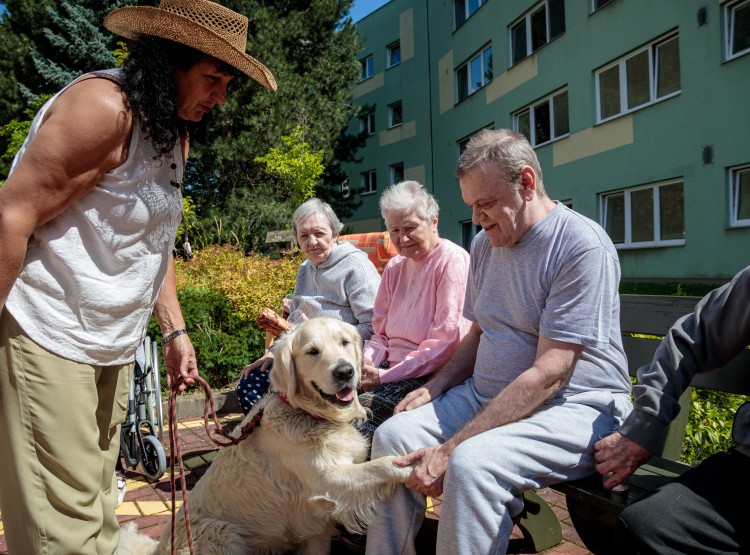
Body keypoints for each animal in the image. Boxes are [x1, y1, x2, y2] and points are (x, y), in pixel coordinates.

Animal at [119, 318, 412, 555]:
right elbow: (380, 465)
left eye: (344, 342)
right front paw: (412, 467)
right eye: (312, 352)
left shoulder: (316, 528)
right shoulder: (327, 481)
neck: (310, 414)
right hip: (223, 534)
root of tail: (161, 548)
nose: (345, 372)